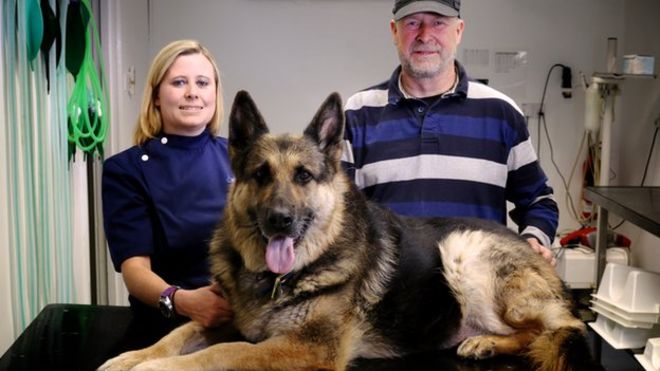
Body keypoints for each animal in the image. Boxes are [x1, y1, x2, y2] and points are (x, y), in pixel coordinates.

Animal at [100, 91, 600, 370]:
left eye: (303, 176)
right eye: (260, 175)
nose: (279, 220)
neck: (281, 279)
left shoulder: (307, 348)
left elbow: (220, 354)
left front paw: (150, 370)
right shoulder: (223, 317)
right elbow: (174, 337)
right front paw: (128, 359)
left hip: (462, 250)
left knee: (558, 328)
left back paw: (487, 342)